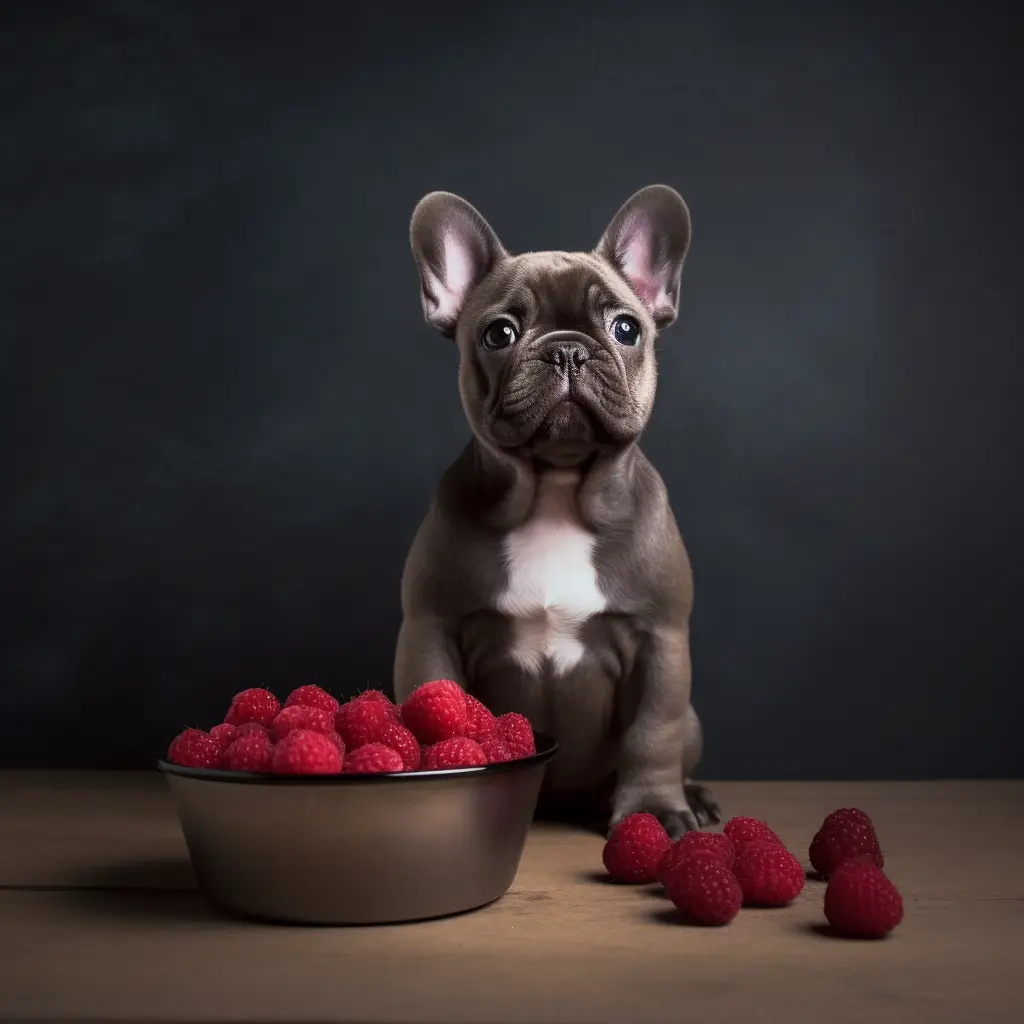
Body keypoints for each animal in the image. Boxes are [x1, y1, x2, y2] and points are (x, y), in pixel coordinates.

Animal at [391, 184, 720, 839]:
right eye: (499, 334)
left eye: (626, 328)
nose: (567, 349)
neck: (558, 493)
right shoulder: (431, 629)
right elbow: (436, 710)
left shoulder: (661, 639)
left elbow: (653, 732)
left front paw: (653, 809)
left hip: (693, 721)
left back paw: (692, 797)